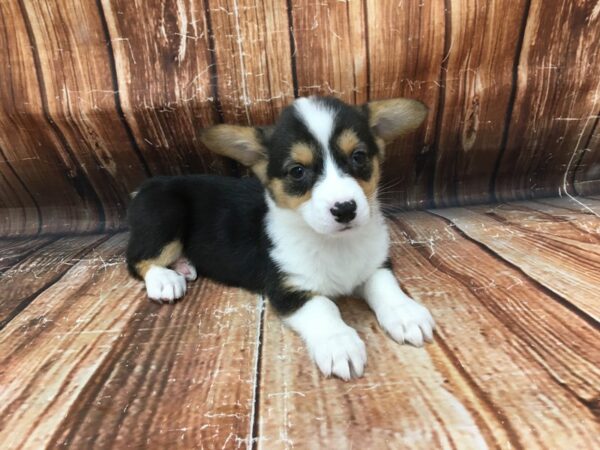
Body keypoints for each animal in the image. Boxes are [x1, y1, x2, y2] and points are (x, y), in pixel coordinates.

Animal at [127, 96, 436, 380]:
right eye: (297, 171)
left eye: (358, 156)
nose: (346, 209)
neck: (335, 244)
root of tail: (149, 183)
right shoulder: (287, 289)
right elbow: (324, 308)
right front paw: (339, 344)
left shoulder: (375, 266)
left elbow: (385, 287)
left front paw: (406, 314)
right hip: (166, 215)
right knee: (139, 260)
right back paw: (165, 279)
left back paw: (183, 266)